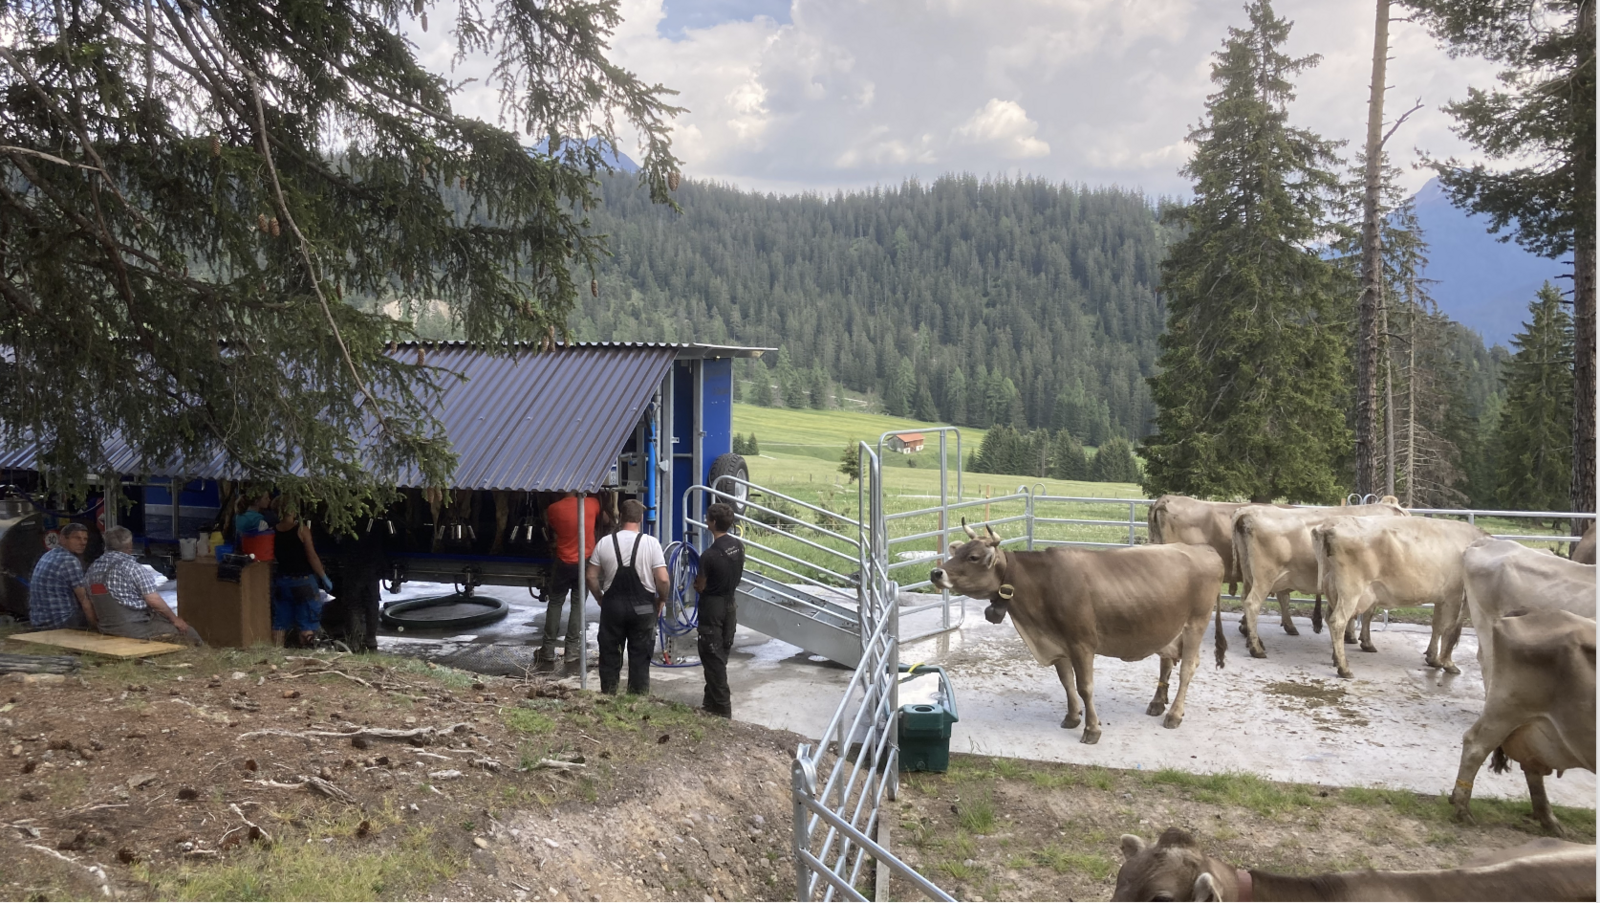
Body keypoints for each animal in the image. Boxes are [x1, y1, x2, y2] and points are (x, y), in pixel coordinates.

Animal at [929, 523, 1224, 744]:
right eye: (959, 550)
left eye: (973, 557)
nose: (935, 572)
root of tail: (1205, 549)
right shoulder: (1057, 642)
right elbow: (1066, 682)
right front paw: (1072, 718)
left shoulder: (1082, 643)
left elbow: (1085, 686)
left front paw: (1092, 729)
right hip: (1168, 629)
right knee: (1167, 661)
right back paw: (1157, 703)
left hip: (1196, 623)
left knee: (1187, 667)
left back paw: (1174, 714)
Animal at [1231, 500, 1408, 658]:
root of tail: (1248, 511)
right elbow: (1367, 614)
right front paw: (1365, 642)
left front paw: (1349, 637)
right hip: (1265, 577)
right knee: (1252, 604)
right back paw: (1257, 649)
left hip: (1249, 574)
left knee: (1246, 599)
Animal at [1312, 516, 1487, 678]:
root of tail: (1329, 526)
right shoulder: (1456, 597)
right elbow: (1450, 631)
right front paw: (1448, 663)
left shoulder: (1442, 598)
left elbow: (1437, 626)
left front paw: (1433, 658)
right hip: (1351, 590)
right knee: (1337, 621)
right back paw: (1344, 668)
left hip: (1333, 588)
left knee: (1330, 617)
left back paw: (1336, 659)